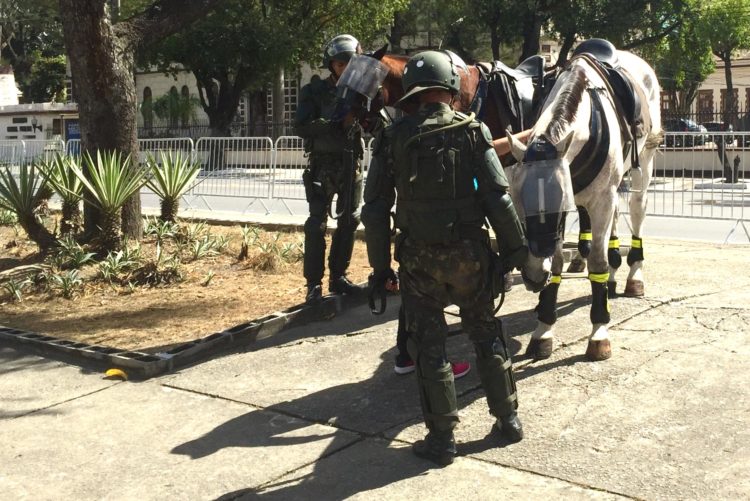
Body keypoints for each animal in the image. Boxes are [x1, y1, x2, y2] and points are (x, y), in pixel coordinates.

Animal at [508, 43, 660, 362]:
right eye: (518, 205)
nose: (532, 276)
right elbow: (556, 264)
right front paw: (543, 330)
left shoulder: (598, 199)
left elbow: (596, 262)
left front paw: (599, 333)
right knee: (615, 217)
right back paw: (612, 276)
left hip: (644, 163)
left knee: (636, 209)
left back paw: (633, 276)